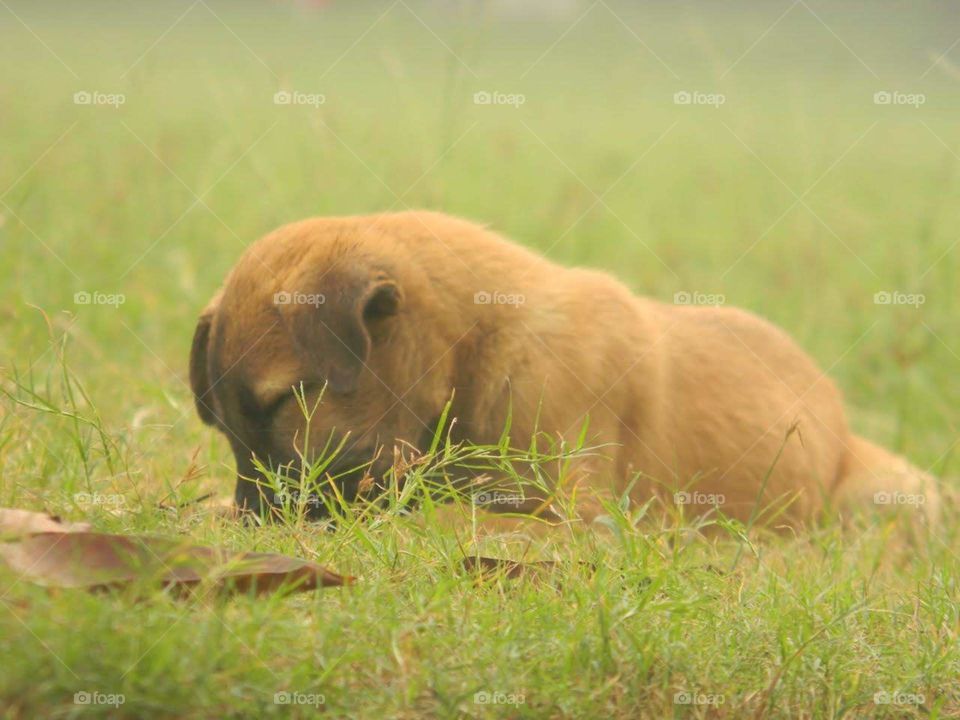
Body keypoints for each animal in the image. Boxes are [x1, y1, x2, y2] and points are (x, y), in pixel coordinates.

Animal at [191, 211, 940, 524]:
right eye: (225, 429)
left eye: (287, 403)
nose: (258, 521)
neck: (478, 348)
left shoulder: (570, 511)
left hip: (895, 495)